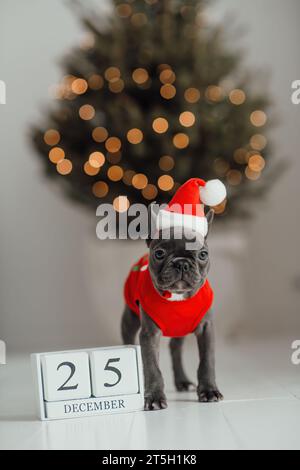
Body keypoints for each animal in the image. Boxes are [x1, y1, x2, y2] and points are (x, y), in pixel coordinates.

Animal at [120, 210, 223, 412]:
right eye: (159, 253)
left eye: (203, 254)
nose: (182, 263)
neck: (177, 297)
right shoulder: (149, 334)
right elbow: (152, 367)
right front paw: (154, 397)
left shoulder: (206, 329)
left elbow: (207, 361)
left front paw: (208, 391)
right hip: (130, 319)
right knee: (128, 340)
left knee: (175, 349)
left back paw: (182, 381)